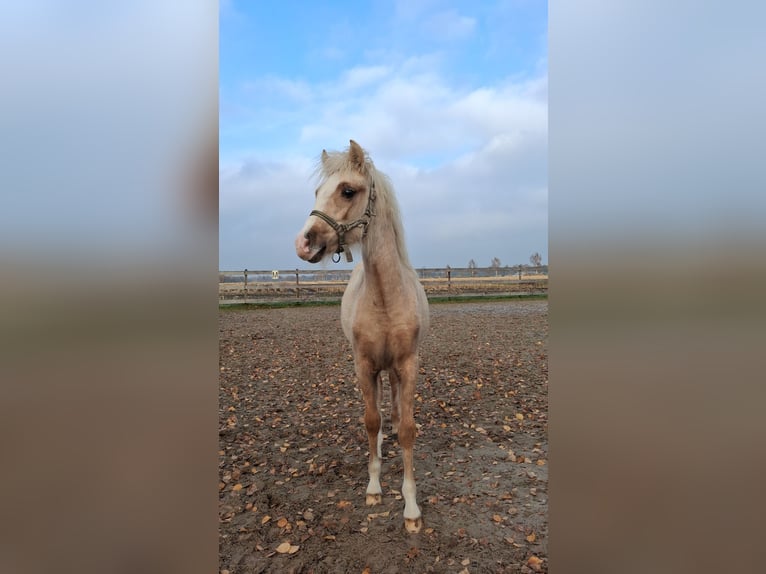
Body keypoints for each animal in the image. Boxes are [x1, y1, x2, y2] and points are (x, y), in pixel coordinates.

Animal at [295, 140, 430, 533]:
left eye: (347, 191)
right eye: (317, 191)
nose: (303, 244)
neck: (384, 296)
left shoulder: (407, 365)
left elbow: (407, 429)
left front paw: (411, 508)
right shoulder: (364, 365)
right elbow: (371, 423)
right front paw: (374, 488)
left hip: (394, 371)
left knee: (395, 414)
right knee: (381, 419)